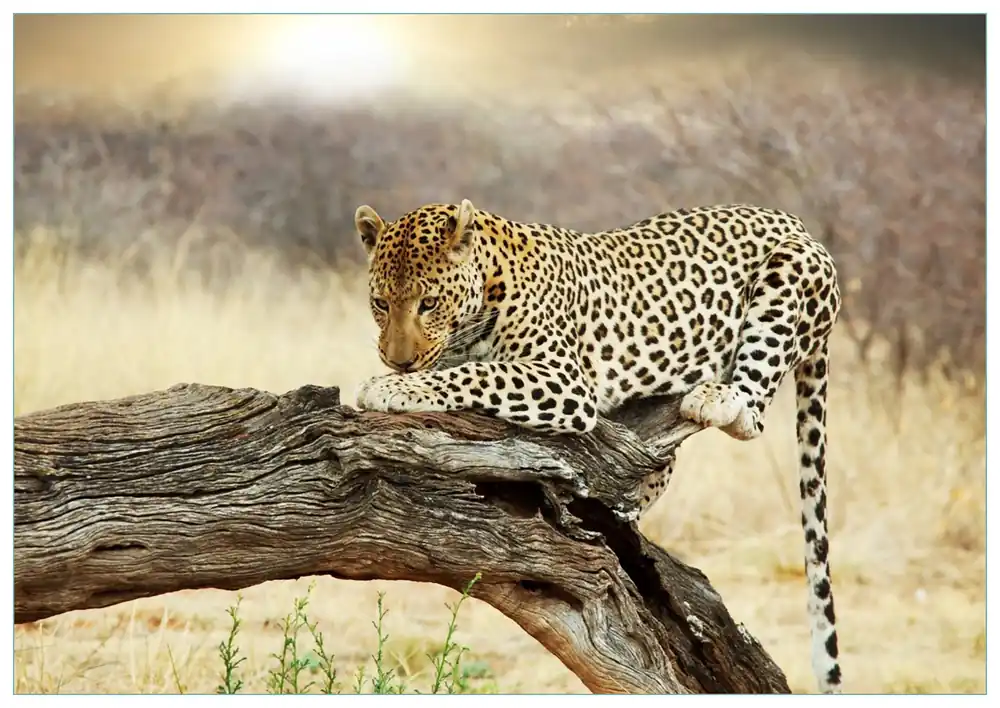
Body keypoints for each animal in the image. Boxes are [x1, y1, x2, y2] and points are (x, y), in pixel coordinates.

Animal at [353, 198, 843, 694]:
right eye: (380, 304)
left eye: (428, 303)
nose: (398, 360)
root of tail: (794, 221)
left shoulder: (562, 378)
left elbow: (476, 374)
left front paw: (392, 387)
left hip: (789, 274)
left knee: (752, 412)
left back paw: (717, 398)